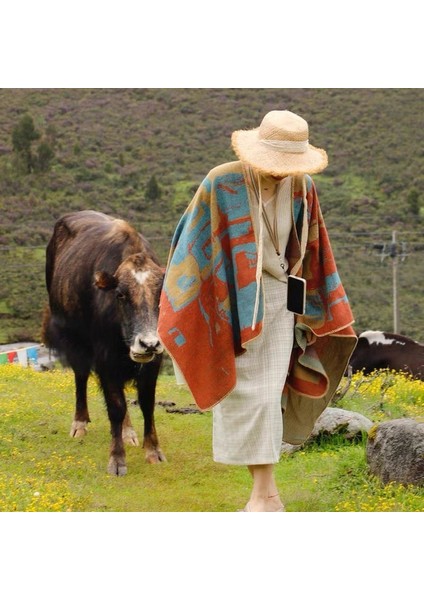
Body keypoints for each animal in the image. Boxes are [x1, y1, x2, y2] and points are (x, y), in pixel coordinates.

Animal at [42, 210, 166, 474]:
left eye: (160, 295)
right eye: (120, 294)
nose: (148, 344)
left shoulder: (153, 363)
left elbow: (147, 404)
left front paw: (153, 451)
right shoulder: (105, 361)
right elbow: (115, 408)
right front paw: (117, 460)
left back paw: (129, 432)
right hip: (75, 343)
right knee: (81, 377)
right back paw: (79, 424)